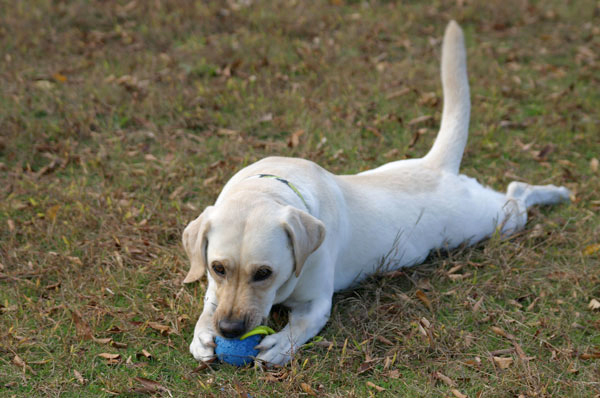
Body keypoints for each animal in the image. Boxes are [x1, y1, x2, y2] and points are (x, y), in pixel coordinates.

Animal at [183, 20, 572, 366]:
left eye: (264, 273)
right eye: (218, 267)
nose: (230, 330)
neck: (272, 186)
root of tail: (436, 165)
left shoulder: (317, 302)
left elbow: (303, 325)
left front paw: (280, 344)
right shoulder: (215, 289)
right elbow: (206, 307)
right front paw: (202, 334)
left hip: (491, 220)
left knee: (518, 194)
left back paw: (557, 193)